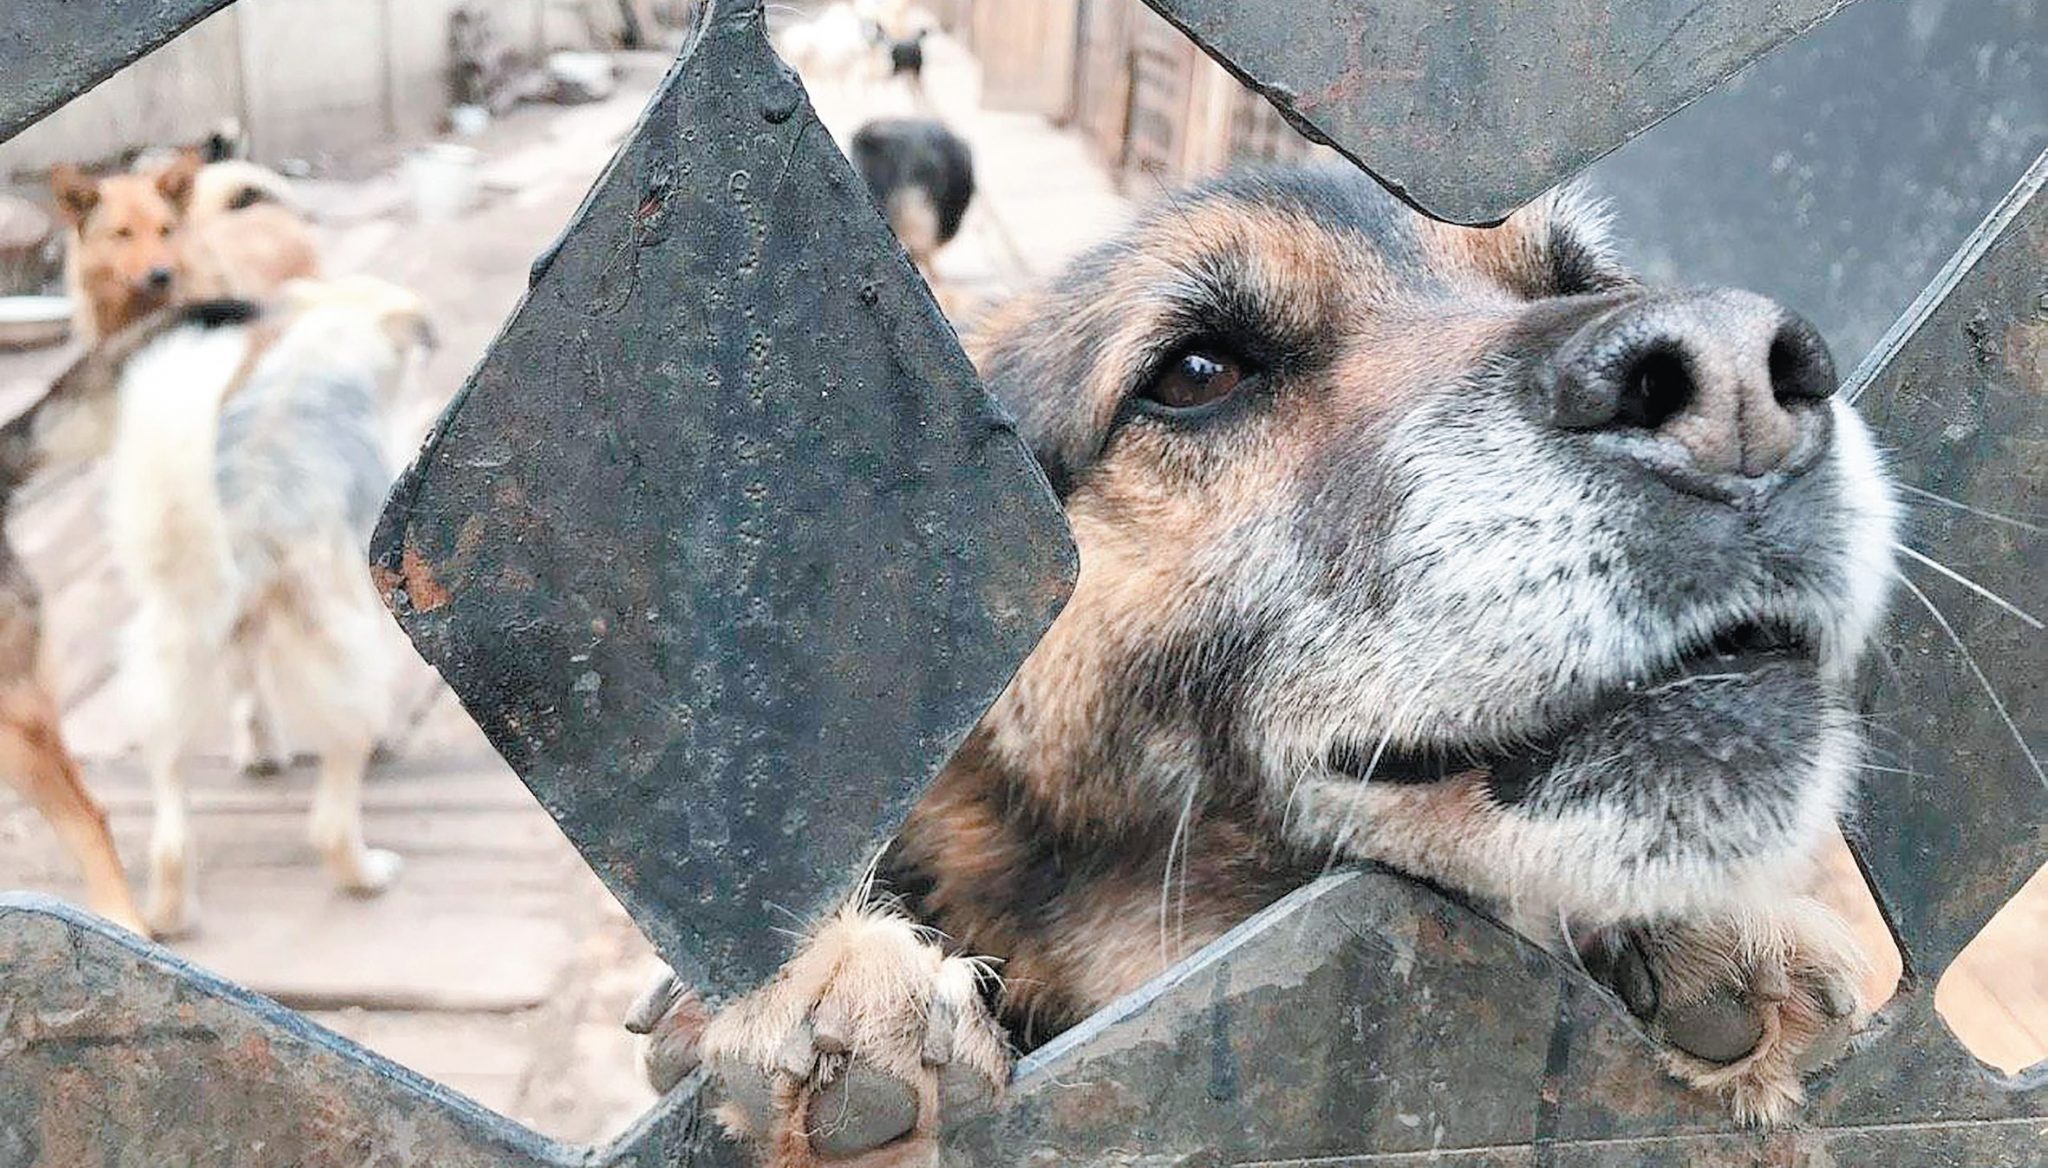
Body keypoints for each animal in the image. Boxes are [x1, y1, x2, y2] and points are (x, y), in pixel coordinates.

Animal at [39, 276, 428, 930]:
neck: (319, 351)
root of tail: (246, 523)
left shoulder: (243, 637)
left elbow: (252, 699)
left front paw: (261, 751)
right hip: (337, 662)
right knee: (330, 821)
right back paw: (368, 874)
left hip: (169, 677)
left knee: (171, 836)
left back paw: (170, 913)